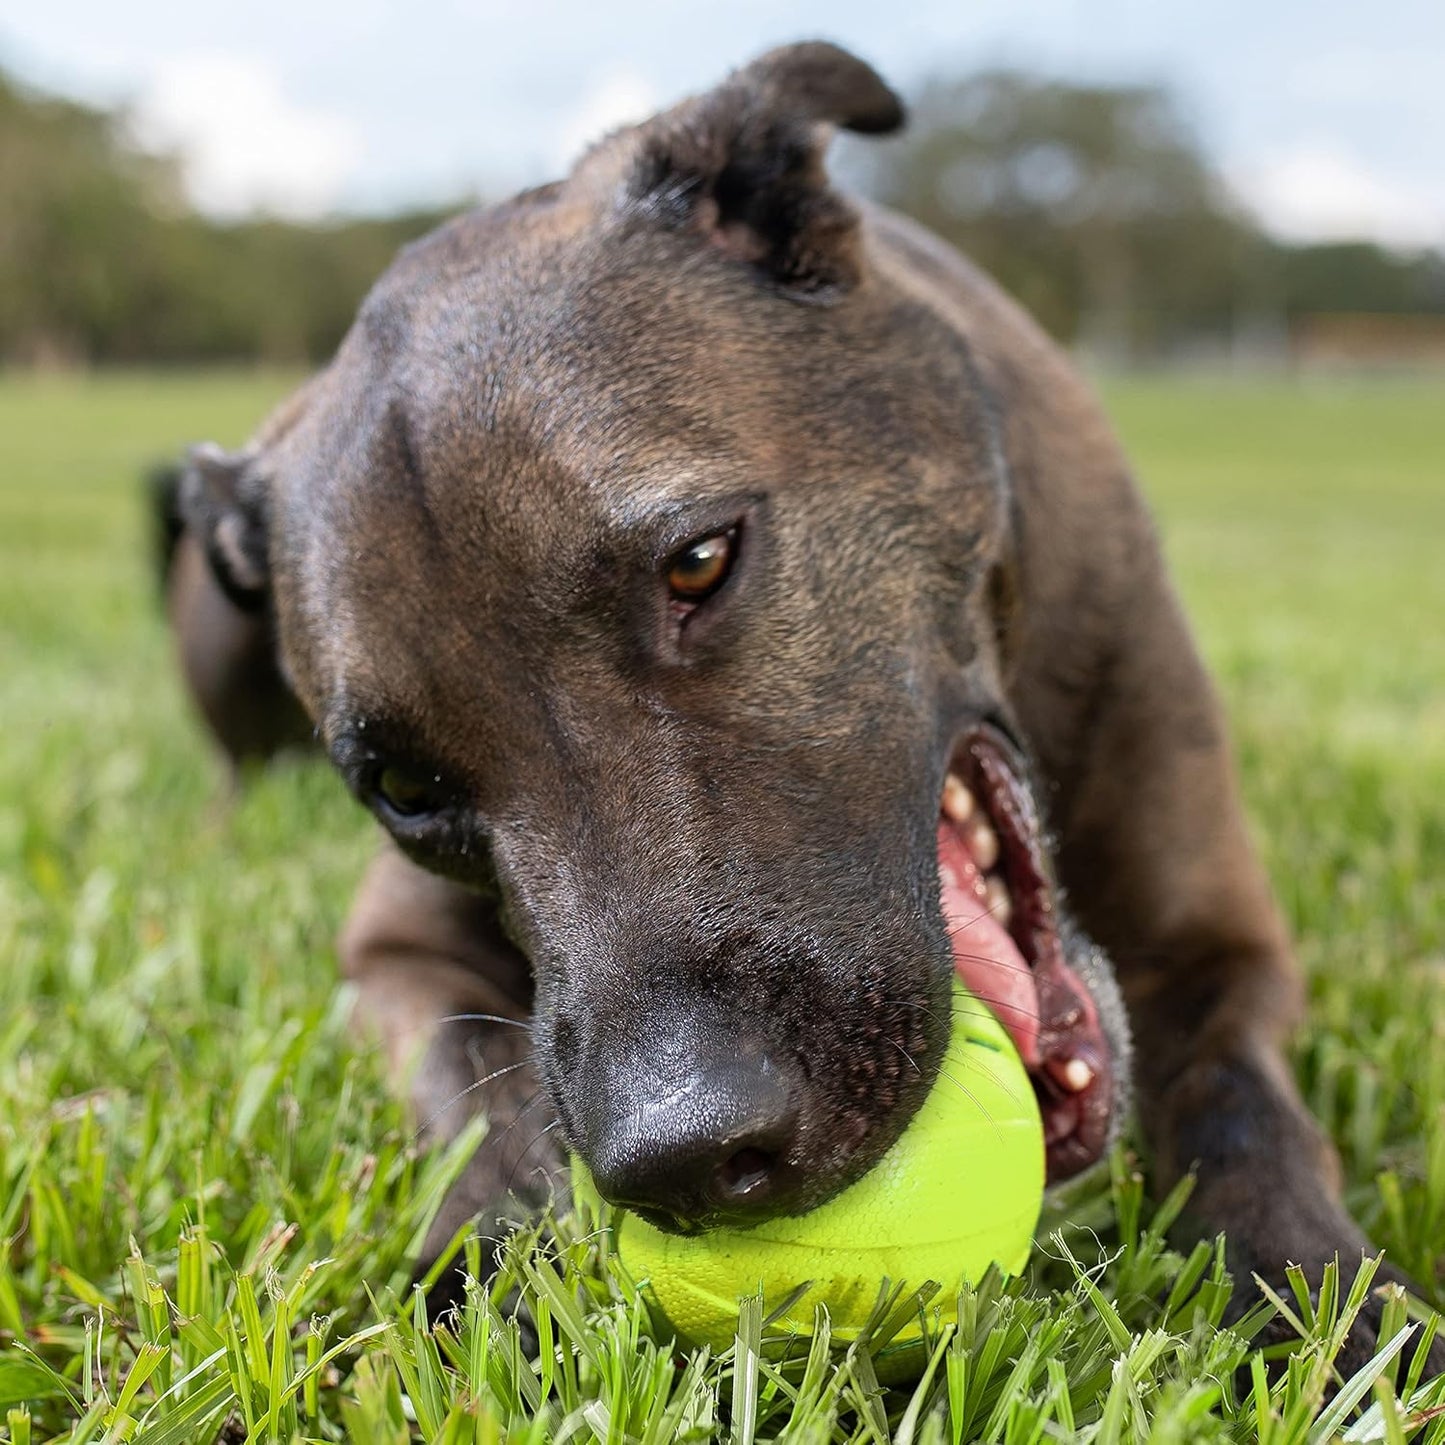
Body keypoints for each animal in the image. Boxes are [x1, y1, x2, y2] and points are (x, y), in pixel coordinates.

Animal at [164, 42, 1427, 1364]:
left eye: (699, 560)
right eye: (405, 787)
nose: (678, 1152)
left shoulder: (1219, 946)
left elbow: (1239, 1105)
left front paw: (1331, 1306)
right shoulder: (393, 950)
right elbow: (475, 1086)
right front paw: (477, 1270)